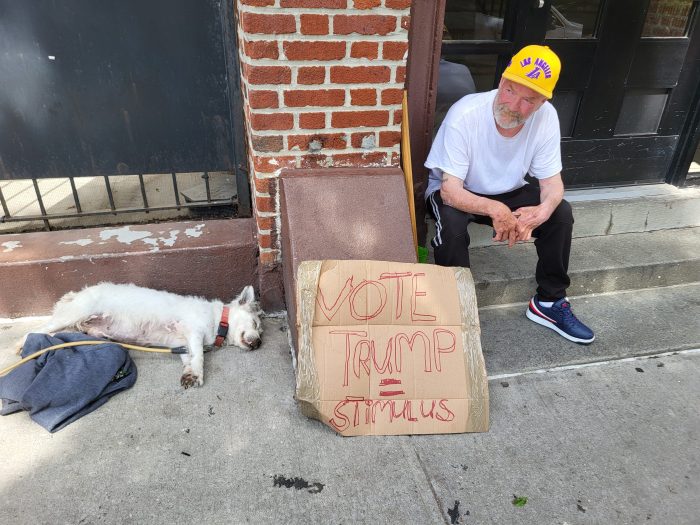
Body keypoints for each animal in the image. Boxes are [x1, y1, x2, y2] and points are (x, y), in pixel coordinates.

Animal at [16, 282, 264, 388]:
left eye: (260, 330)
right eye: (255, 323)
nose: (259, 343)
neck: (218, 320)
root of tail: (78, 293)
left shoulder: (181, 342)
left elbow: (189, 358)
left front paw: (189, 373)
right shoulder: (193, 331)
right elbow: (200, 357)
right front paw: (197, 374)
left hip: (81, 324)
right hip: (75, 312)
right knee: (38, 329)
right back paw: (21, 345)